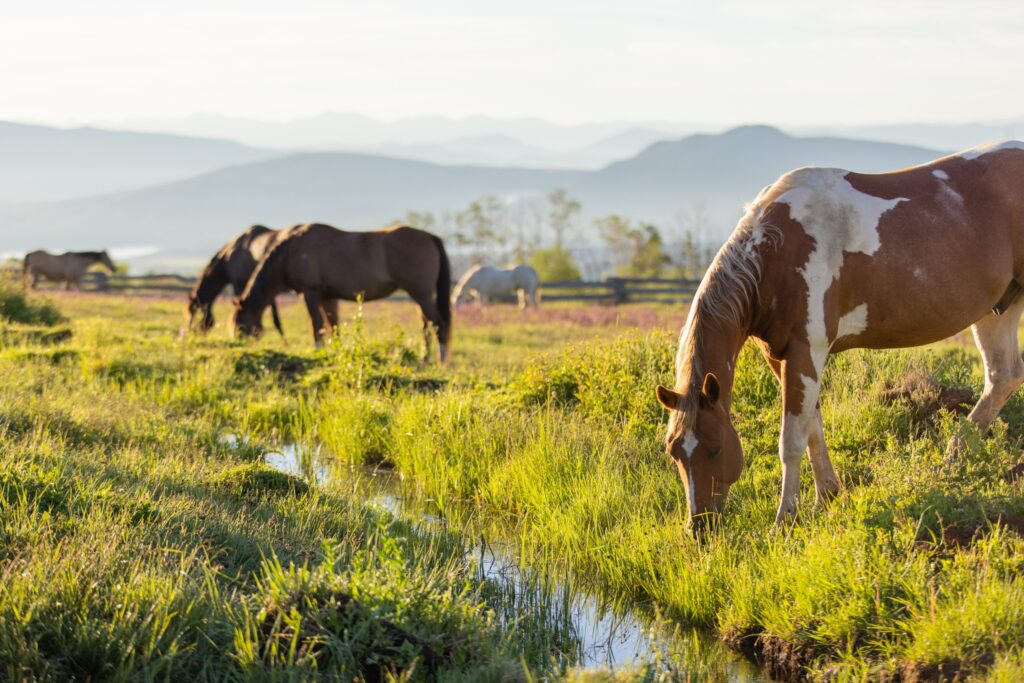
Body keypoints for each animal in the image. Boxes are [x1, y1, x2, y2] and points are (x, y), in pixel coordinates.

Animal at [235, 224, 456, 362]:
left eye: (239, 323)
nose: (240, 342)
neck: (291, 250)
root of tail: (430, 236)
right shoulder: (327, 296)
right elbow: (333, 325)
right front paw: (335, 350)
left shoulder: (310, 293)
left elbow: (316, 324)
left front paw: (318, 350)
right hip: (419, 296)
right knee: (426, 325)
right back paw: (425, 359)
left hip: (422, 293)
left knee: (438, 324)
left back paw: (441, 360)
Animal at [651, 140, 1024, 532]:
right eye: (673, 452)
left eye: (715, 447)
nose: (699, 527)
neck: (777, 252)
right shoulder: (783, 357)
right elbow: (813, 429)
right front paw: (825, 496)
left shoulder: (807, 351)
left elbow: (792, 439)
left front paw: (784, 519)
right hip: (997, 309)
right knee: (1003, 377)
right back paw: (951, 459)